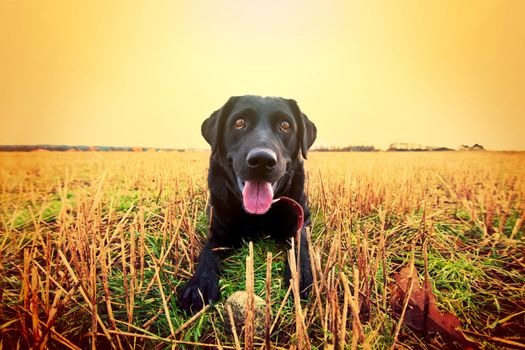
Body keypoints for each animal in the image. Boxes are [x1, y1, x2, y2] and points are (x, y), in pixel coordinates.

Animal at [180, 94, 316, 314]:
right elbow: (207, 252)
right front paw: (199, 284)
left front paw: (300, 274)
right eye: (239, 122)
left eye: (285, 125)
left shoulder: (302, 218)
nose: (262, 159)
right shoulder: (218, 231)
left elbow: (300, 243)